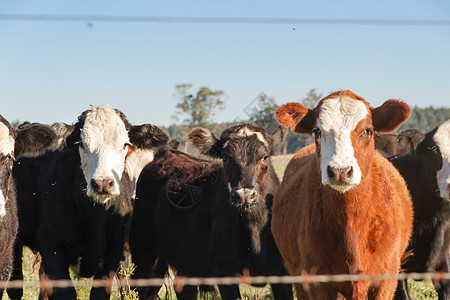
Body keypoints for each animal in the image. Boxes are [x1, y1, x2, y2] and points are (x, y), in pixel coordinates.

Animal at [8, 106, 171, 300]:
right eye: (81, 144)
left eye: (125, 145)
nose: (102, 183)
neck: (95, 216)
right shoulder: (51, 246)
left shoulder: (113, 253)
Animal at [129, 123, 296, 300]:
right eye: (226, 158)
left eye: (264, 157)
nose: (244, 195)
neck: (255, 231)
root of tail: (165, 152)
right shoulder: (224, 273)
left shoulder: (282, 273)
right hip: (143, 254)